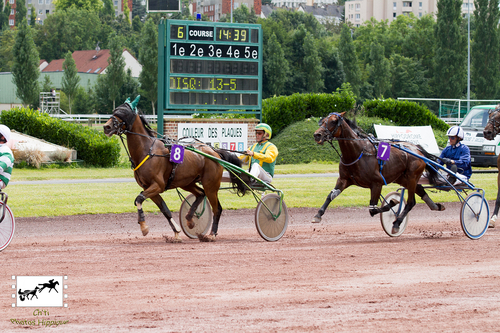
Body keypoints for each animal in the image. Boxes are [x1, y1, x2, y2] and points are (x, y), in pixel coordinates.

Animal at [103, 96, 248, 241]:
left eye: (123, 113)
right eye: (115, 111)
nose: (106, 127)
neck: (147, 151)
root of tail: (215, 152)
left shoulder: (158, 185)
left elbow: (138, 199)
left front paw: (143, 226)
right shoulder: (148, 187)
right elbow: (164, 209)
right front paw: (177, 232)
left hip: (211, 185)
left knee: (217, 208)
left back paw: (211, 234)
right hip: (187, 182)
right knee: (201, 193)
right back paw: (189, 219)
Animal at [310, 111, 444, 233]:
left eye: (333, 121)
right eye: (322, 121)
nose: (317, 135)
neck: (357, 152)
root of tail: (417, 148)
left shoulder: (377, 183)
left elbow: (373, 209)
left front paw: (393, 202)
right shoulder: (344, 180)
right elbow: (330, 195)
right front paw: (318, 215)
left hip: (412, 176)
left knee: (411, 202)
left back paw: (397, 223)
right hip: (402, 178)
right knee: (419, 189)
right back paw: (436, 206)